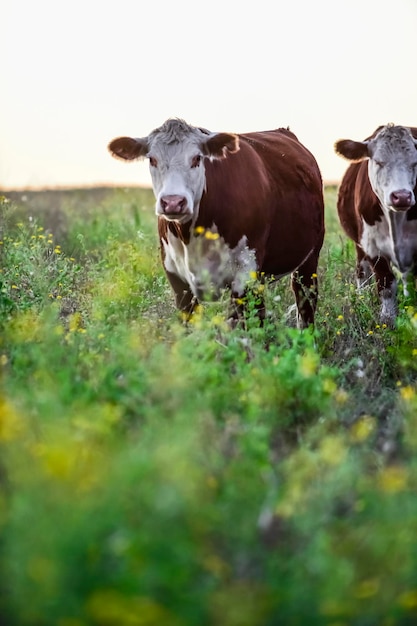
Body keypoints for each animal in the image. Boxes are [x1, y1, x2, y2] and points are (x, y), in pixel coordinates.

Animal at [108, 116, 324, 326]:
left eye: (197, 158)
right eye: (152, 159)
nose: (173, 202)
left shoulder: (245, 273)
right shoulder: (176, 278)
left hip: (308, 262)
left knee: (305, 306)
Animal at [334, 124, 416, 324]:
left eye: (415, 163)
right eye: (379, 162)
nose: (402, 196)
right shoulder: (372, 247)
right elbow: (386, 285)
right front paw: (388, 321)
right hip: (359, 246)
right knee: (361, 271)